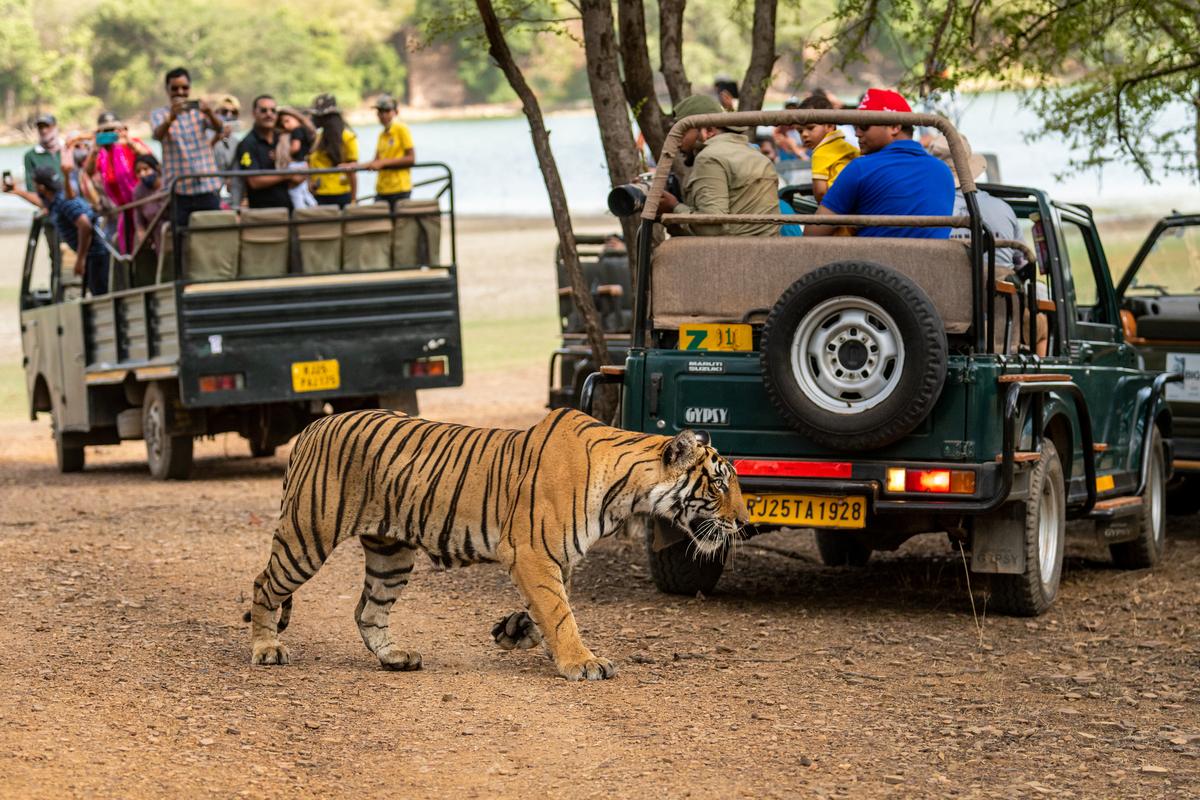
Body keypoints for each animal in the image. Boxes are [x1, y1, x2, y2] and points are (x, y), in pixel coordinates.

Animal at [247, 407, 744, 681]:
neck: (627, 491)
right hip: (307, 535)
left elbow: (551, 608)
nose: (743, 521)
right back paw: (266, 649)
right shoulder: (532, 553)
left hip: (392, 553)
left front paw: (516, 631)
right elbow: (561, 613)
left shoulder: (557, 559)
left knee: (367, 611)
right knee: (263, 585)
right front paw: (581, 662)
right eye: (719, 484)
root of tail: (313, 426)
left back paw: (395, 658)